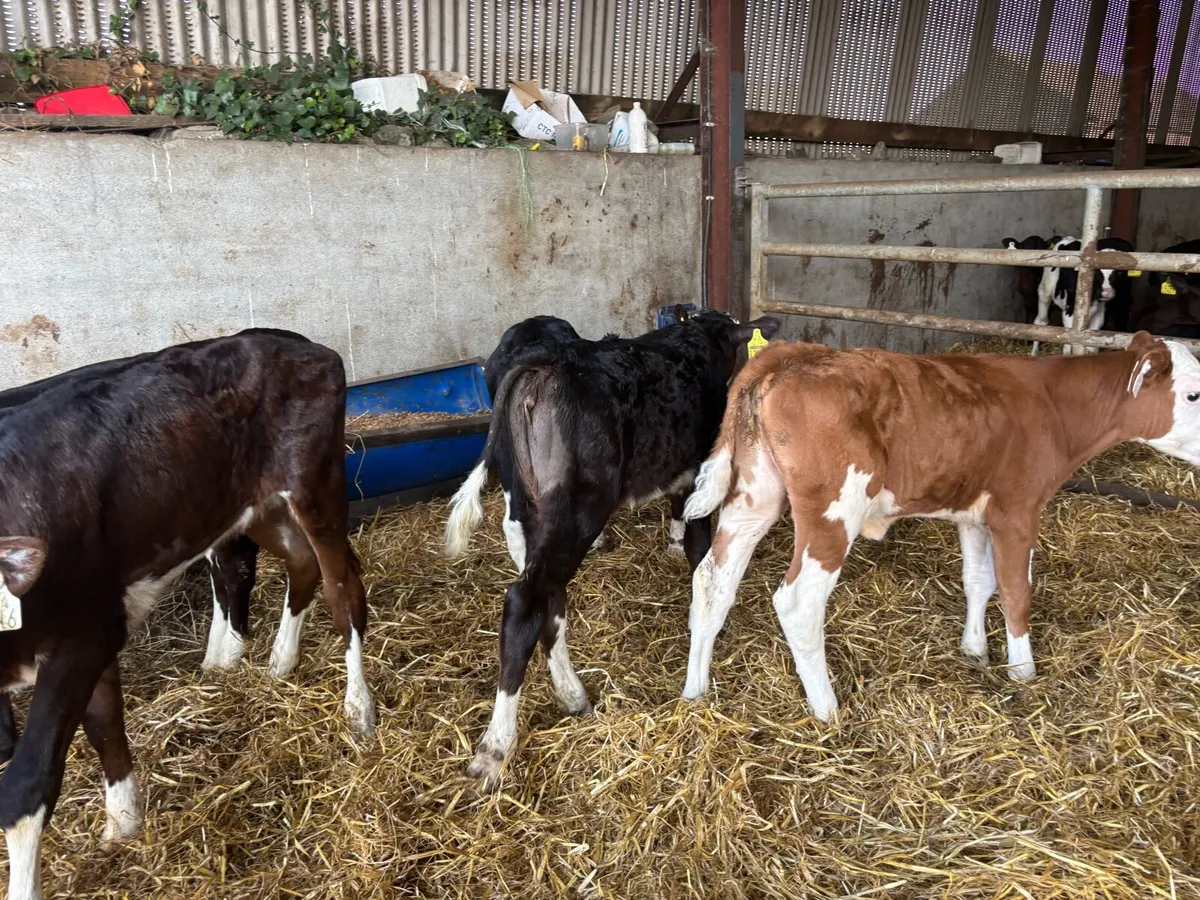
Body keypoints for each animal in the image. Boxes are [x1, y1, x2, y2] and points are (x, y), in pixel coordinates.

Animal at [0, 329, 375, 900]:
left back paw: (359, 709)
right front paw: (124, 827)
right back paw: (280, 663)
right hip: (251, 505)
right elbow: (105, 725)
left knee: (342, 589)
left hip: (314, 484)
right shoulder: (96, 626)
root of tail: (299, 342)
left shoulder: (80, 634)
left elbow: (27, 784)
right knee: (300, 564)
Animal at [444, 310, 780, 781]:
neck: (696, 342)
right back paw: (495, 746)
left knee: (549, 600)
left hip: (525, 512)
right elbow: (700, 551)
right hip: (579, 507)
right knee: (525, 603)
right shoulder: (700, 475)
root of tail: (545, 362)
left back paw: (573, 695)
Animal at [679, 332, 1200, 724]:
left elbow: (978, 581)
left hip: (754, 495)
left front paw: (975, 651)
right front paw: (1023, 670)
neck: (1052, 405)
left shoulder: (973, 514)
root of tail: (793, 354)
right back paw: (827, 709)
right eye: (1194, 394)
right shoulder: (1018, 510)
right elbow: (1016, 590)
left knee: (711, 582)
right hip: (832, 510)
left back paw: (696, 690)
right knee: (799, 601)